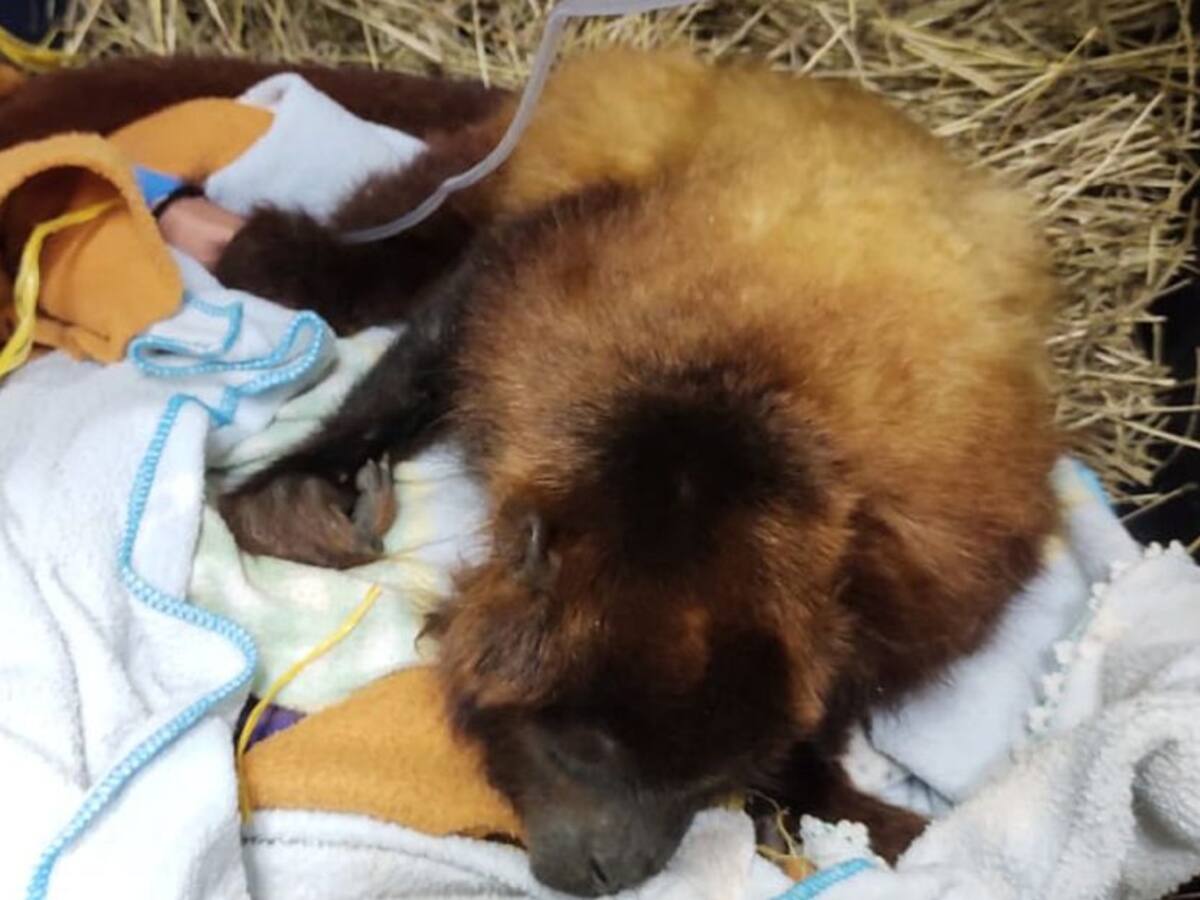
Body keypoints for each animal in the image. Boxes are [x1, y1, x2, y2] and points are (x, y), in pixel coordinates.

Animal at [1, 50, 1061, 896]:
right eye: (575, 750)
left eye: (698, 778)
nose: (613, 866)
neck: (726, 415)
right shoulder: (548, 318)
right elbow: (467, 304)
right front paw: (297, 497)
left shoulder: (921, 573)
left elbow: (840, 688)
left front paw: (821, 800)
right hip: (517, 146)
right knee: (395, 243)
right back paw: (239, 242)